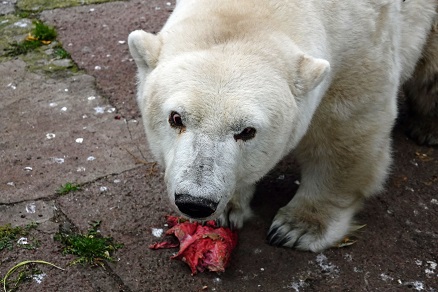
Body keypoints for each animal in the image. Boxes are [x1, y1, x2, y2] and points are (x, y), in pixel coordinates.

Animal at [128, 0, 436, 251]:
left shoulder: (362, 48)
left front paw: (297, 228)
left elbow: (344, 134)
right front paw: (229, 210)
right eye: (176, 118)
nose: (195, 202)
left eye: (247, 131)